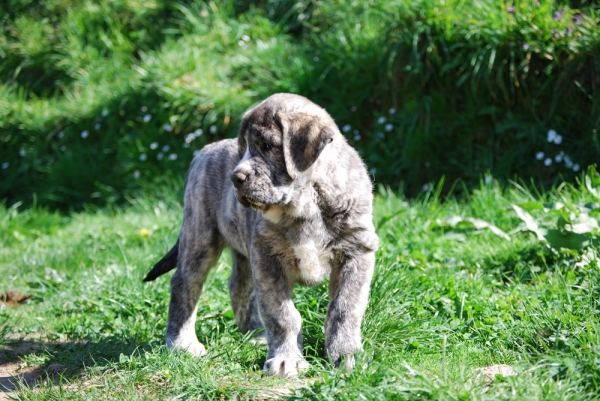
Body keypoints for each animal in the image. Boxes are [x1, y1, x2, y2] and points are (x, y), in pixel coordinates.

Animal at [145, 93, 378, 376]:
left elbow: (344, 309)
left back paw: (255, 333)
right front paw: (287, 358)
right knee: (184, 284)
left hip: (242, 249)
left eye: (267, 145)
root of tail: (204, 150)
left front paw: (346, 356)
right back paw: (182, 342)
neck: (307, 203)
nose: (235, 178)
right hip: (200, 236)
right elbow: (282, 314)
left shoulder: (356, 251)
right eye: (243, 148)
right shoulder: (268, 257)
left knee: (239, 285)